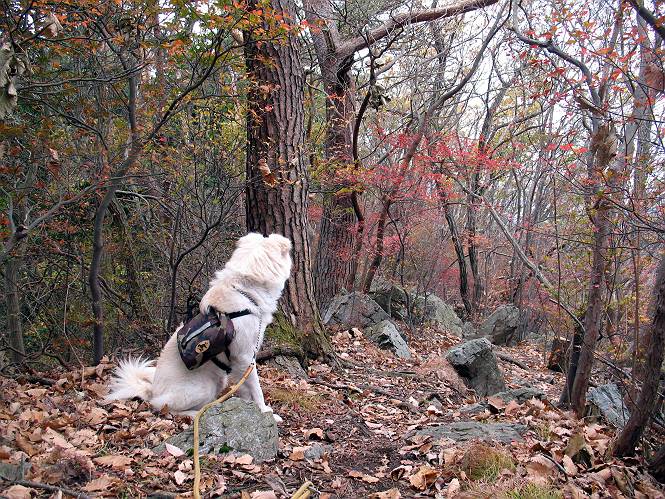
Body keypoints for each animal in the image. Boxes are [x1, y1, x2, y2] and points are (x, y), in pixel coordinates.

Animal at [105, 233, 292, 421]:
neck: (244, 293)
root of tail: (152, 392)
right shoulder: (245, 357)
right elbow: (256, 389)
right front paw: (265, 412)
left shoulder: (239, 362)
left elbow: (245, 388)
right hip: (202, 387)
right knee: (166, 408)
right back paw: (195, 414)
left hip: (219, 380)